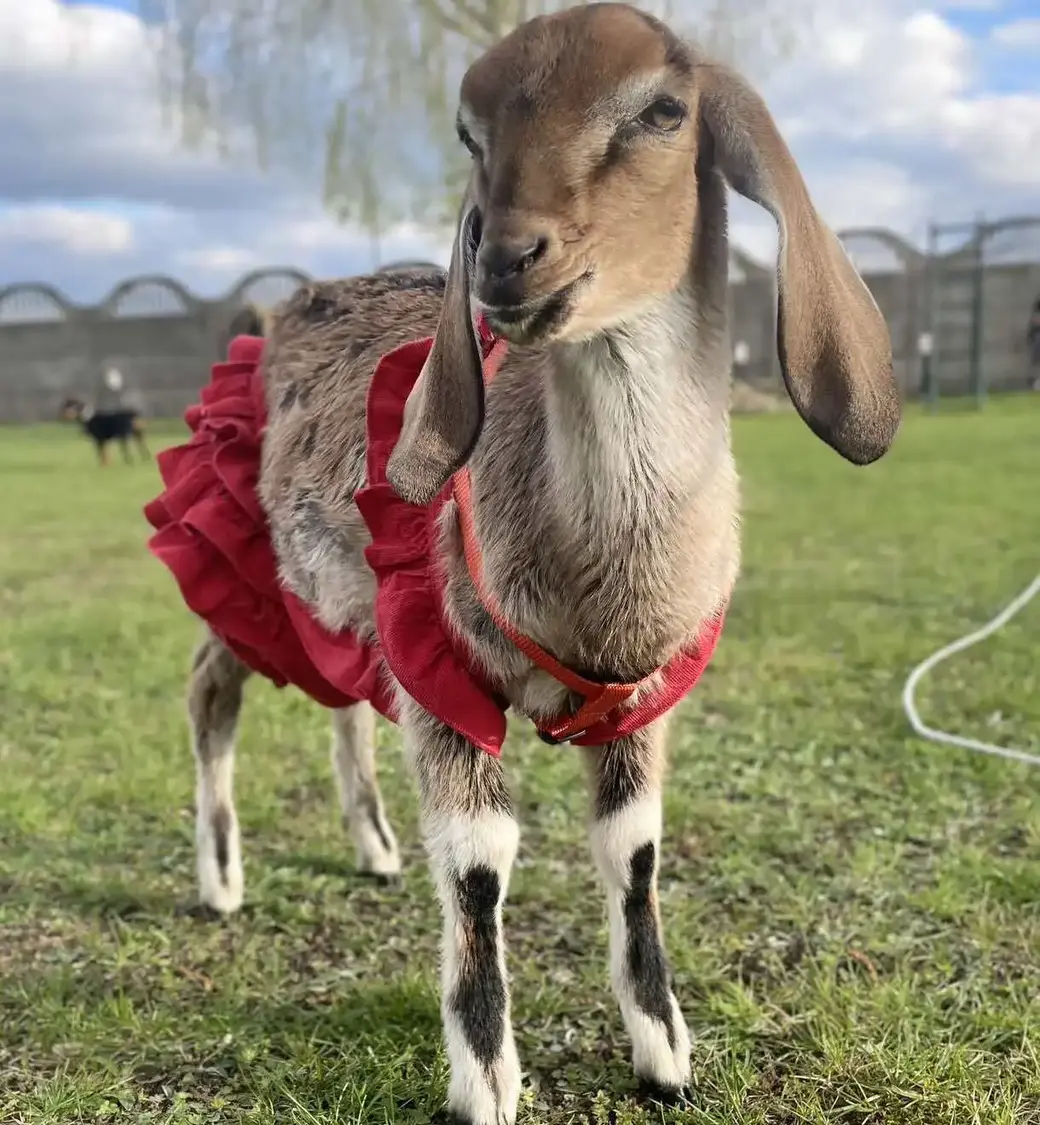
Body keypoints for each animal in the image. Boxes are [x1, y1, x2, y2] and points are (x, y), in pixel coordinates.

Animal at [142, 4, 895, 1120]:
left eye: (663, 111)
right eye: (467, 133)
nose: (504, 260)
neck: (598, 590)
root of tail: (274, 312)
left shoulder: (639, 698)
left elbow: (633, 852)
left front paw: (663, 1051)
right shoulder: (442, 669)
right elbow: (479, 867)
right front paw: (487, 1079)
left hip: (339, 607)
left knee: (341, 707)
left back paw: (373, 847)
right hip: (241, 575)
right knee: (209, 691)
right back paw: (222, 879)